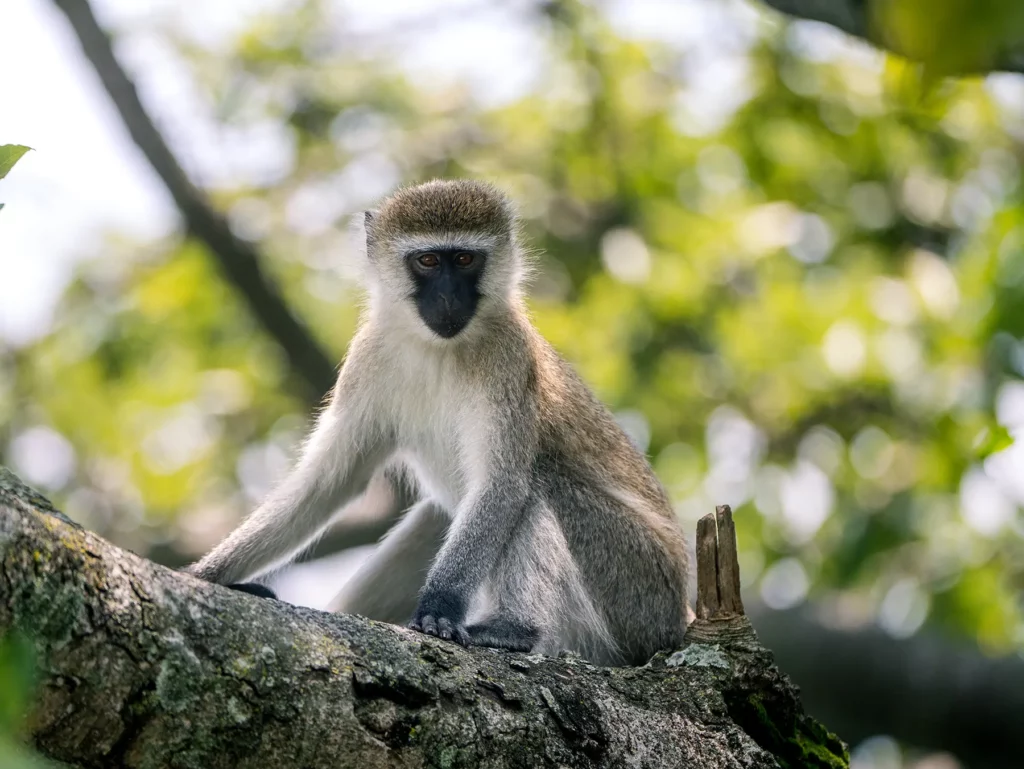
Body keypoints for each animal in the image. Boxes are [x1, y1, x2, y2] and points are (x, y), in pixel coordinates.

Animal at [188, 179, 690, 665]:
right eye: (428, 261)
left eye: (465, 259)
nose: (448, 296)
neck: (437, 349)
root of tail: (678, 618)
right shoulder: (367, 357)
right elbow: (328, 482)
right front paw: (204, 575)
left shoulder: (509, 356)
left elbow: (501, 486)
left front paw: (438, 608)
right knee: (436, 518)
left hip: (635, 584)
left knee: (533, 488)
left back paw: (516, 629)